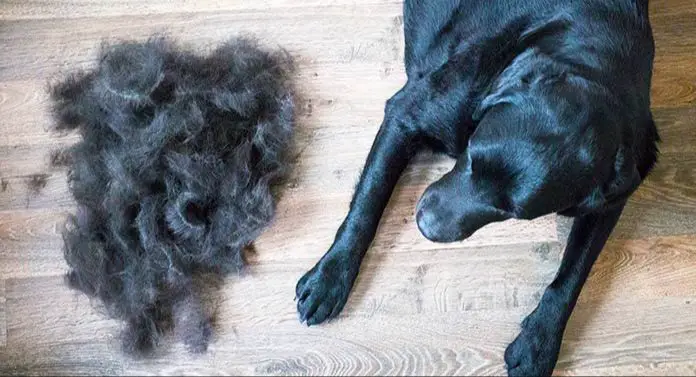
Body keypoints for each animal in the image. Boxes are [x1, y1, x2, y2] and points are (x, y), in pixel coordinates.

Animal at [294, 0, 656, 374]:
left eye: (510, 211)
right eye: (471, 155)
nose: (425, 224)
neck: (595, 56)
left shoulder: (615, 193)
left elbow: (574, 274)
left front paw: (539, 341)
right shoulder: (405, 116)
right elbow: (369, 202)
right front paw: (330, 276)